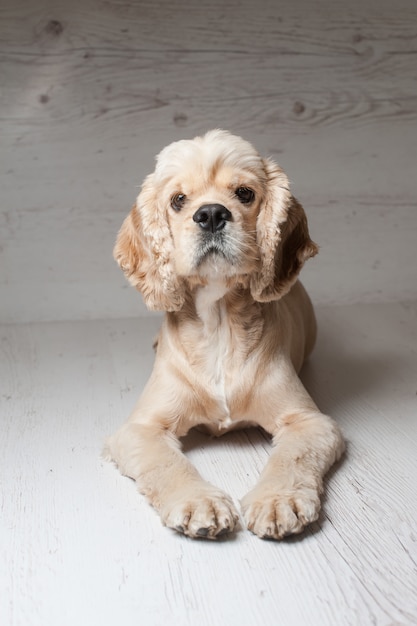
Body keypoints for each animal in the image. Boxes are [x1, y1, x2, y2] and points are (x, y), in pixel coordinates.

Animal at [105, 130, 344, 536]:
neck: (218, 324)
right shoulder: (141, 428)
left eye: (244, 193)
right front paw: (197, 502)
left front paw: (278, 501)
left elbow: (293, 457)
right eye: (178, 200)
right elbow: (167, 463)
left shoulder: (310, 422)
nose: (212, 214)